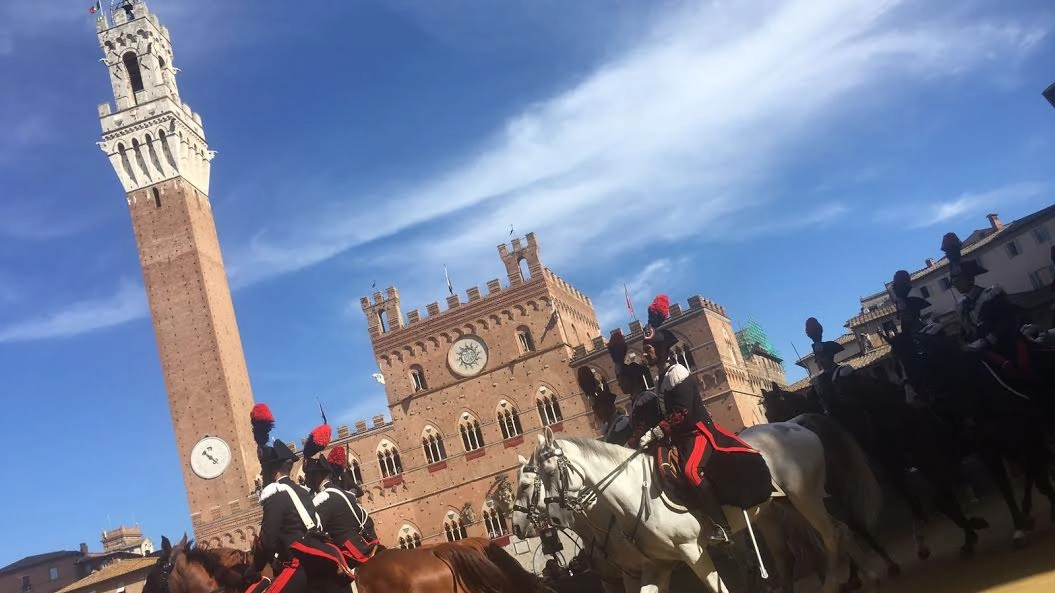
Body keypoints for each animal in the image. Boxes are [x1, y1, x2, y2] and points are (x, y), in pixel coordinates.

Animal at [531, 419, 877, 590]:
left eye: (550, 471)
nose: (553, 518)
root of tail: (800, 427)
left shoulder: (692, 551)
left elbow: (717, 588)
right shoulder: (657, 565)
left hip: (804, 497)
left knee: (831, 535)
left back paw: (836, 581)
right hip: (783, 505)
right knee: (834, 533)